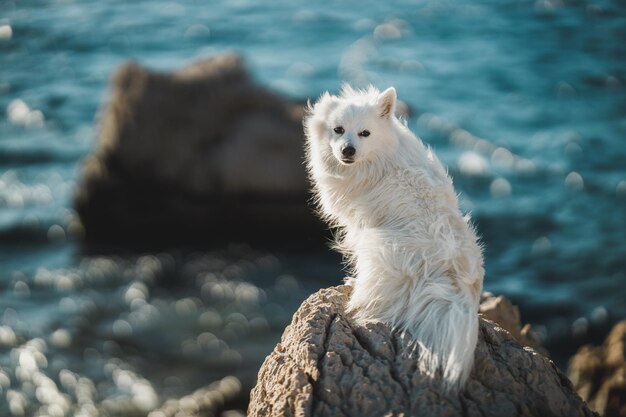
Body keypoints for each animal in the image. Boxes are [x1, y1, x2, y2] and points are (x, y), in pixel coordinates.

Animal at [302, 85, 482, 394]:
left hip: (380, 245)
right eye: (338, 130)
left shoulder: (362, 225)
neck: (380, 160)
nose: (347, 149)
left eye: (365, 133)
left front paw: (352, 281)